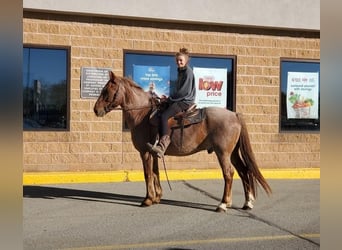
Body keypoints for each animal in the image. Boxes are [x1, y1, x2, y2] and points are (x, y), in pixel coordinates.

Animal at [94, 71, 272, 213]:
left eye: (106, 91)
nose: (96, 110)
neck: (142, 114)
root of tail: (234, 114)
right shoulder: (153, 151)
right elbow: (155, 172)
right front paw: (157, 197)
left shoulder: (144, 153)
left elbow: (147, 174)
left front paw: (148, 199)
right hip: (232, 153)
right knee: (244, 171)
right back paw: (247, 202)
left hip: (223, 153)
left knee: (229, 174)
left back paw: (222, 204)